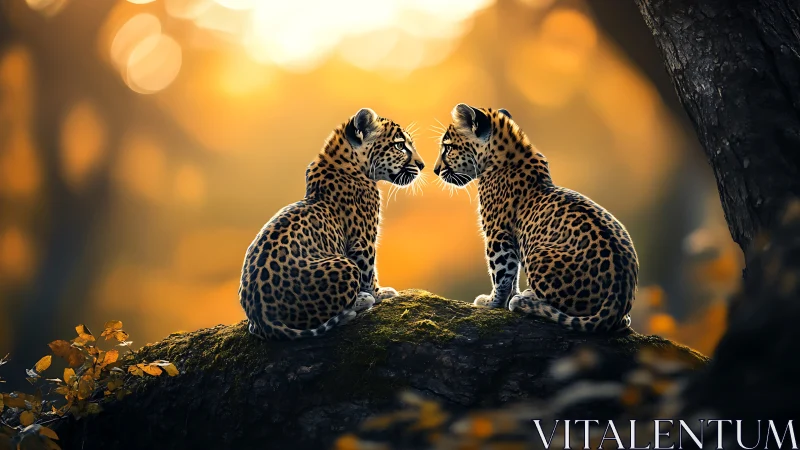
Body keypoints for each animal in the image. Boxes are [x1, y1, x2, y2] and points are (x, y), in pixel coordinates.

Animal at [239, 108, 425, 340]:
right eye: (399, 145)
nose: (422, 165)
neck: (343, 161)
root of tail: (264, 319)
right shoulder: (363, 240)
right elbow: (369, 270)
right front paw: (380, 293)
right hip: (345, 264)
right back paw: (361, 301)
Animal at [433, 103, 638, 332]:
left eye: (448, 148)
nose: (435, 170)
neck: (510, 151)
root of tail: (617, 303)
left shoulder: (497, 233)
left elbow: (501, 272)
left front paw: (492, 302)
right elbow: (512, 274)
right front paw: (505, 299)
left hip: (538, 253)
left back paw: (526, 300)